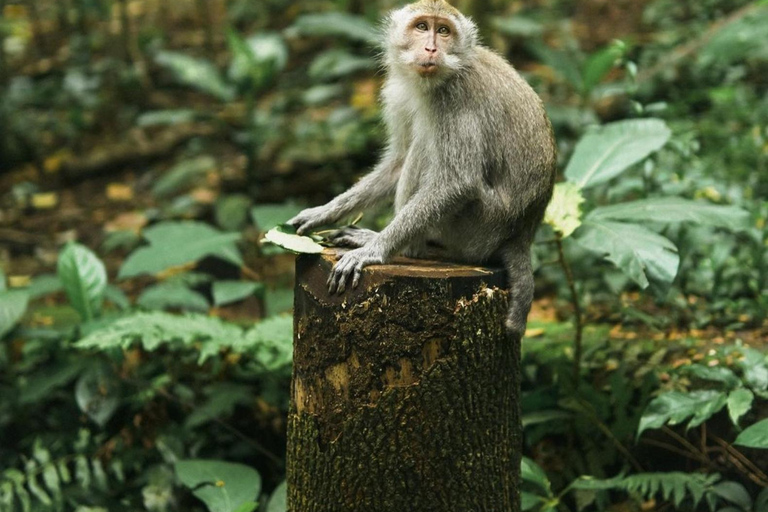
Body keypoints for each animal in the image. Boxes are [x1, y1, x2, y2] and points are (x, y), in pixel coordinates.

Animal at [286, 0, 552, 336]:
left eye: (444, 31)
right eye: (422, 27)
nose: (431, 48)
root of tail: (522, 235)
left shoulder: (455, 97)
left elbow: (457, 183)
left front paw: (373, 250)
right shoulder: (398, 92)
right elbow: (397, 162)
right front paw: (324, 211)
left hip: (477, 227)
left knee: (426, 149)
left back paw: (409, 248)